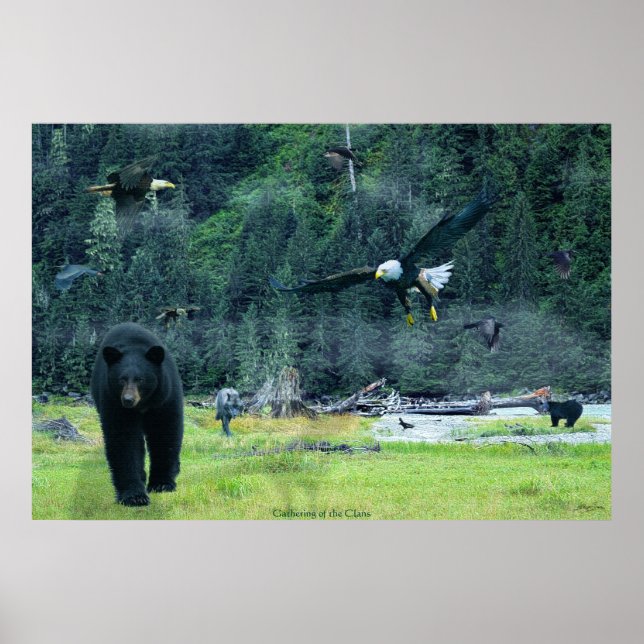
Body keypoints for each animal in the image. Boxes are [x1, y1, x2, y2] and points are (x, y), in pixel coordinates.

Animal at [90, 322, 184, 506]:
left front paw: (161, 484)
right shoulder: (113, 401)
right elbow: (124, 440)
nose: (128, 400)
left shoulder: (165, 397)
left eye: (140, 379)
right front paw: (134, 496)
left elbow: (164, 431)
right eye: (121, 379)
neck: (143, 404)